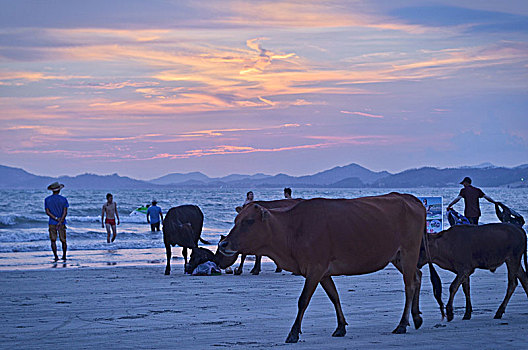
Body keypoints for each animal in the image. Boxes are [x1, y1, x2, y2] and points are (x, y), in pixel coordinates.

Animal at [219, 193, 434, 344]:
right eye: (235, 220)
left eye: (248, 221)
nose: (223, 244)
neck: (292, 229)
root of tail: (410, 198)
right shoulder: (322, 272)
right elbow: (334, 296)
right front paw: (340, 327)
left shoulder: (315, 268)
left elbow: (303, 301)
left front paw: (293, 333)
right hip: (397, 257)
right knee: (417, 276)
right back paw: (416, 317)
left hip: (408, 251)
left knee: (409, 285)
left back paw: (402, 324)